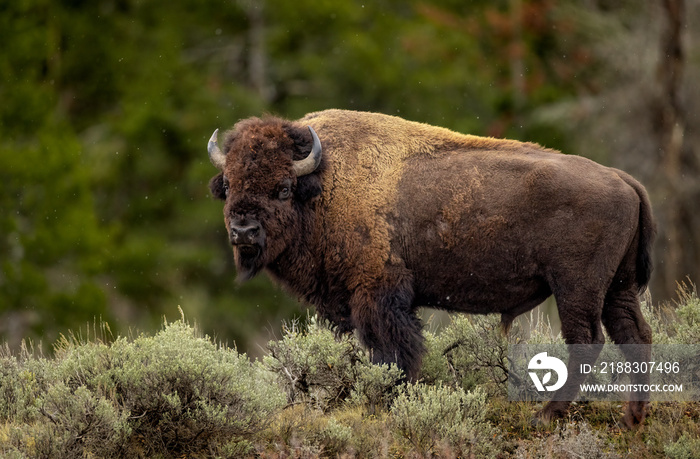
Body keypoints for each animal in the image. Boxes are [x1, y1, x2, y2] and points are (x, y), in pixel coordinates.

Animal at [208, 109, 656, 426]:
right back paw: (632, 418)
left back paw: (545, 416)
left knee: (587, 341)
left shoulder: (378, 294)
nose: (243, 230)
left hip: (576, 287)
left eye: (283, 188)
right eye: (228, 184)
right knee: (635, 336)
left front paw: (390, 398)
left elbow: (393, 351)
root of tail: (622, 178)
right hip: (617, 288)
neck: (324, 184)